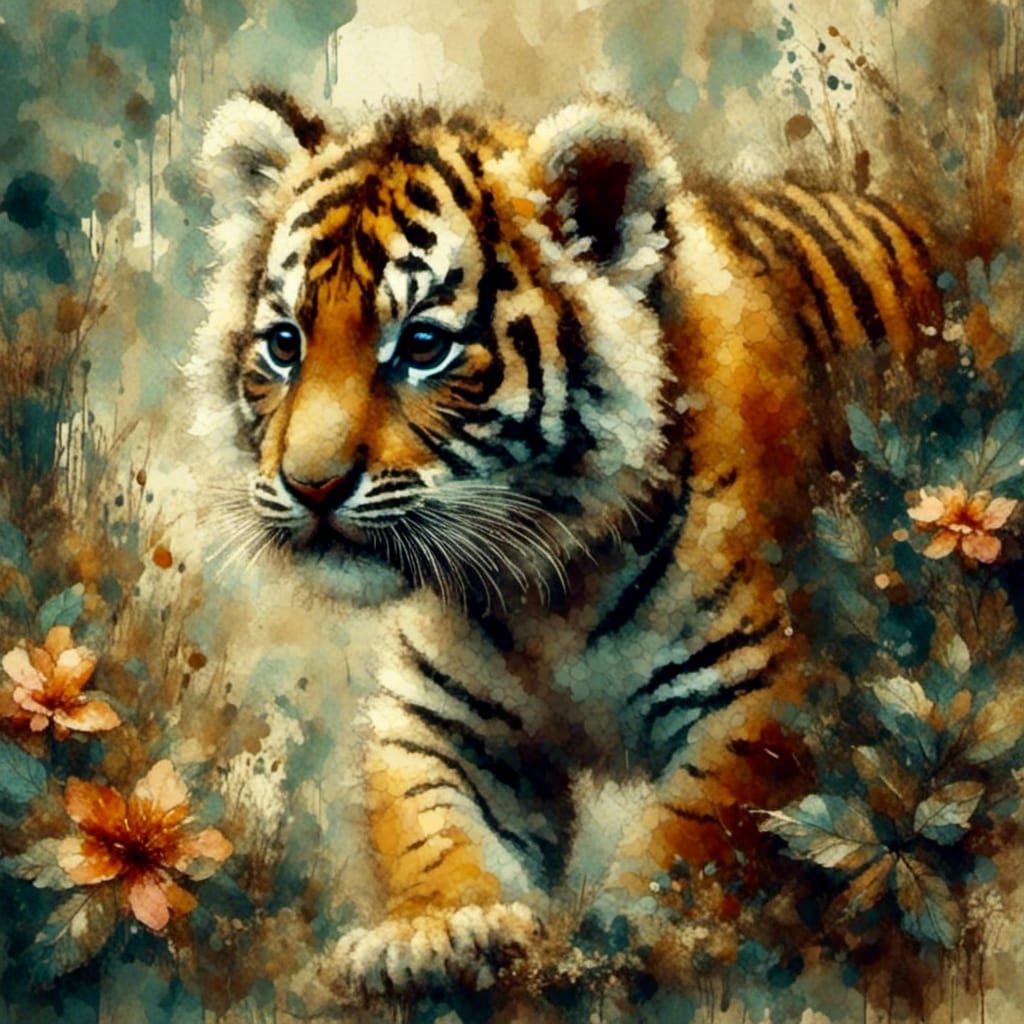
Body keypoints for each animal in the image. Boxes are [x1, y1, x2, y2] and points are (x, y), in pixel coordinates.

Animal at [188, 87, 944, 997]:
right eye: (284, 345)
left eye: (423, 347)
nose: (311, 485)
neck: (543, 580)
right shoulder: (435, 715)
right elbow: (427, 825)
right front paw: (434, 930)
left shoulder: (759, 688)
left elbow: (693, 834)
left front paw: (633, 931)